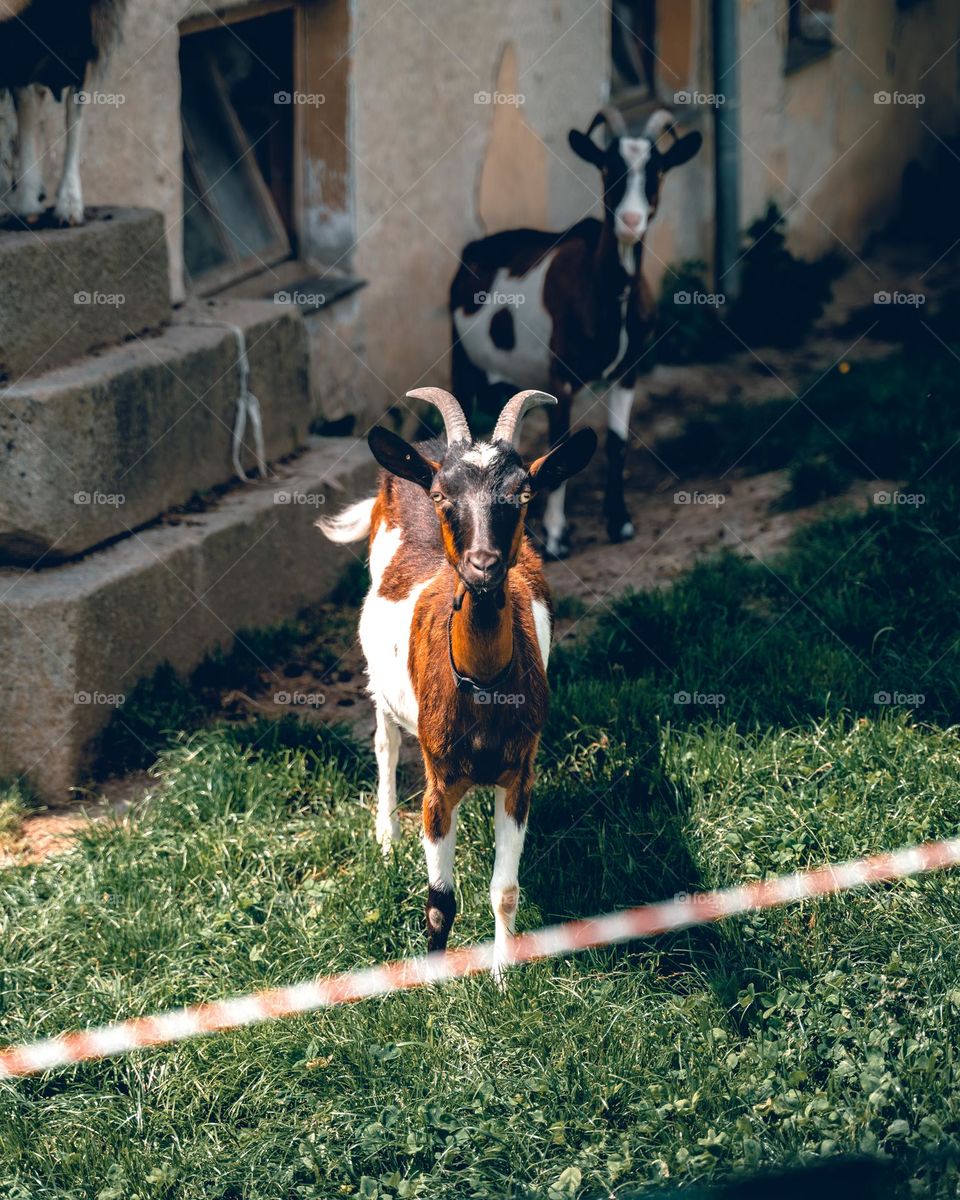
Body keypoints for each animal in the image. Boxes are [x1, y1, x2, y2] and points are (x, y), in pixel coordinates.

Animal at [0, 0, 126, 224]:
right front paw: (28, 206)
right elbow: (27, 106)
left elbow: (73, 115)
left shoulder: (84, 46)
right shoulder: (17, 50)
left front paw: (69, 207)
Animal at [319, 388, 595, 979]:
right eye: (443, 495)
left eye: (522, 493)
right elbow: (439, 899)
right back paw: (386, 837)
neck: (483, 686)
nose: (483, 564)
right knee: (384, 740)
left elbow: (505, 891)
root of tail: (421, 451)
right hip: (380, 680)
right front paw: (432, 979)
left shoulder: (519, 776)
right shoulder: (439, 783)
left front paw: (502, 976)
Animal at [451, 108, 705, 556]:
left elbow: (617, 444)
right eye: (607, 168)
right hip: (462, 362)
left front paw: (619, 523)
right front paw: (556, 538)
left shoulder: (628, 371)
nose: (630, 223)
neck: (607, 288)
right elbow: (558, 447)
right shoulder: (561, 376)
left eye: (656, 170)